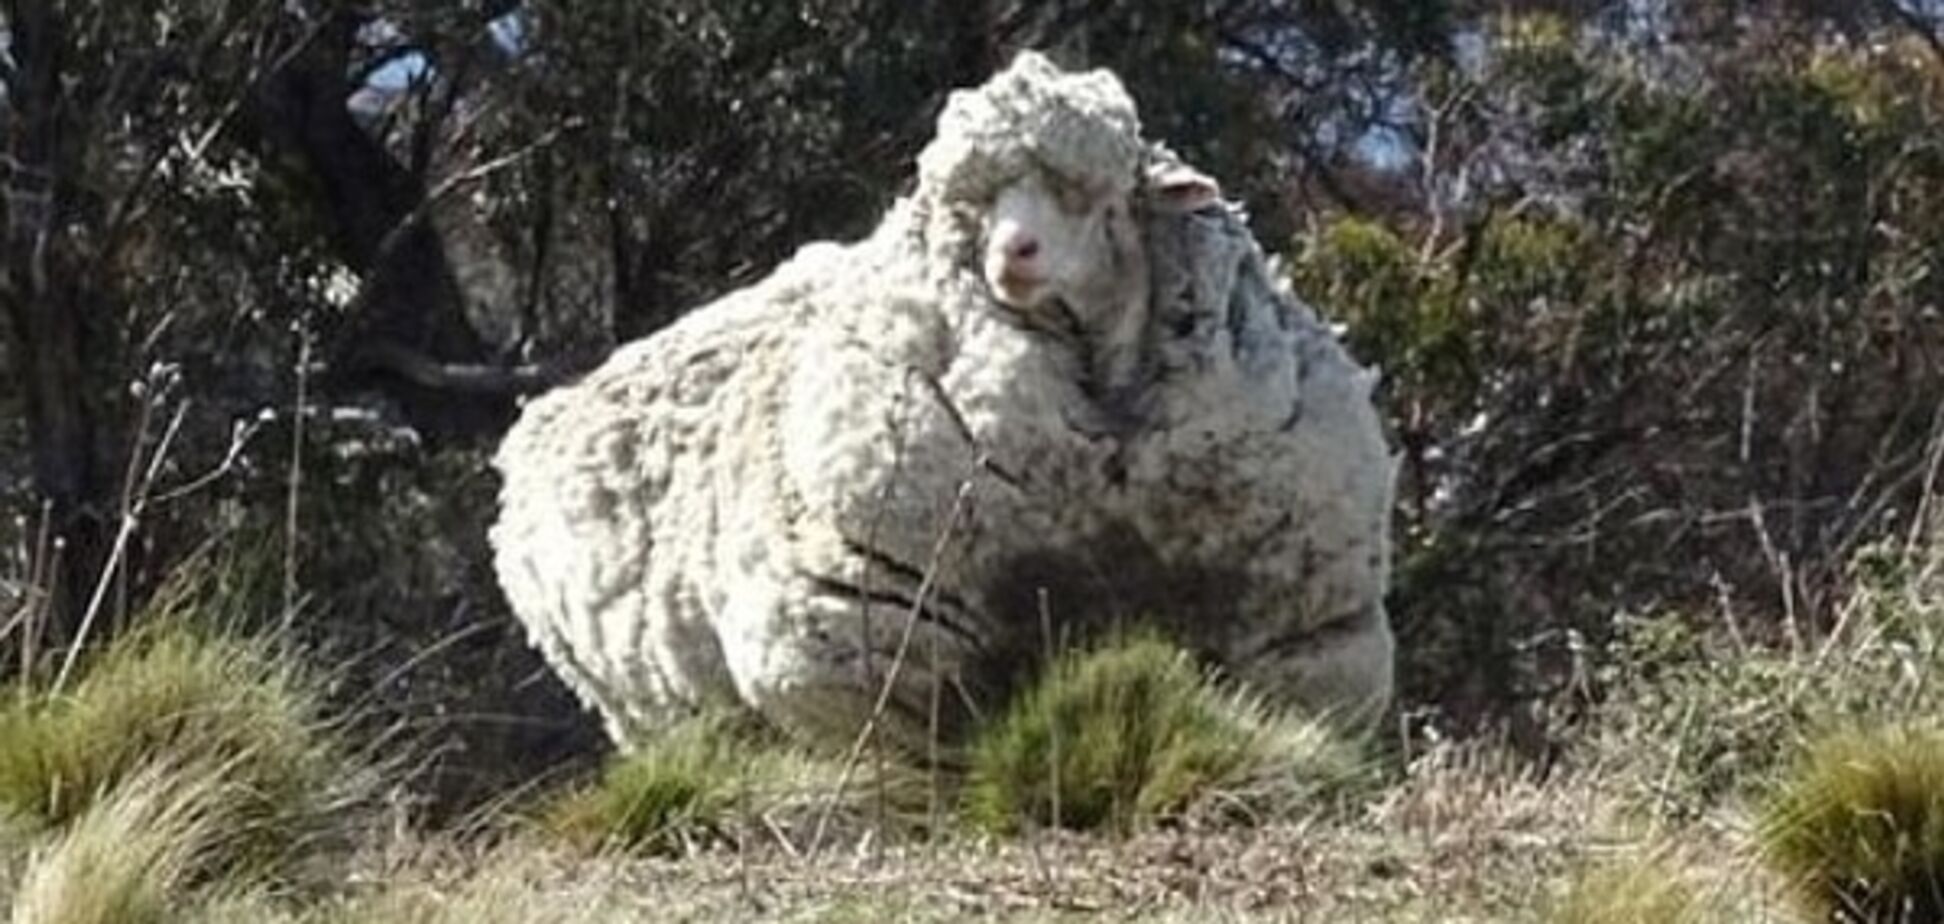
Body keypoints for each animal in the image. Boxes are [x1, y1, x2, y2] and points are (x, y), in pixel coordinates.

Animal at [486, 52, 1399, 758]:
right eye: (975, 205)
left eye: (1091, 194)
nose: (1013, 253)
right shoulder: (868, 647)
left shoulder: (1308, 640)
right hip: (651, 708)